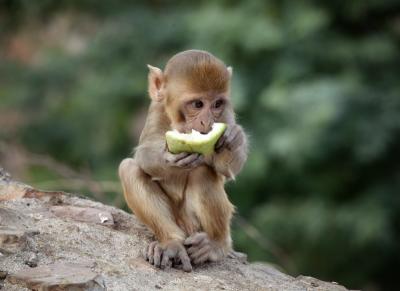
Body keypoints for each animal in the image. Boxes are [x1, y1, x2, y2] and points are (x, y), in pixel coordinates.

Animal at [119, 50, 247, 274]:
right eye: (197, 104)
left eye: (217, 104)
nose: (207, 122)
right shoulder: (157, 108)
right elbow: (144, 153)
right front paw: (168, 157)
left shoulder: (226, 114)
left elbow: (225, 168)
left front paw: (235, 137)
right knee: (129, 169)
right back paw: (172, 243)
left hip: (194, 227)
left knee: (202, 172)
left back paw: (215, 244)